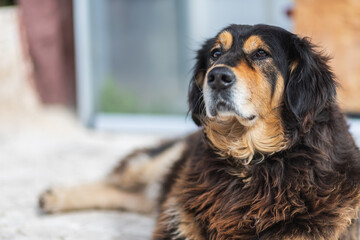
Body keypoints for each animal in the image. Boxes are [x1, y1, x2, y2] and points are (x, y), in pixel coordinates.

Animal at [38, 24, 360, 240]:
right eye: (216, 53)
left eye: (261, 53)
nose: (217, 76)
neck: (250, 159)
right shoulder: (179, 219)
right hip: (162, 162)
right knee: (120, 181)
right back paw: (55, 197)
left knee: (133, 197)